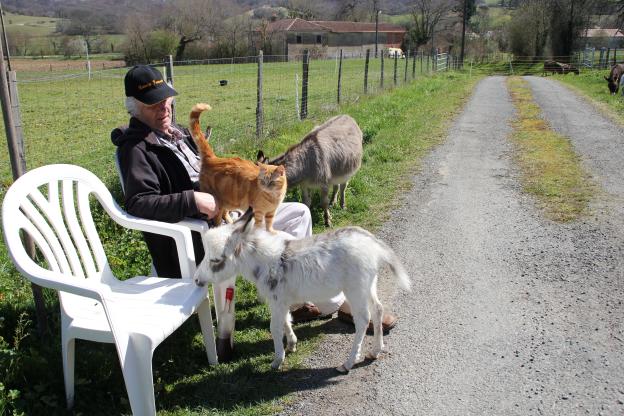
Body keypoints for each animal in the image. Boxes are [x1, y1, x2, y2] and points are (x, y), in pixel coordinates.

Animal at [190, 102, 288, 232]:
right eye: (262, 181)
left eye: (272, 182)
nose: (265, 187)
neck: (274, 196)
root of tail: (213, 158)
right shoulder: (257, 212)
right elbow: (258, 225)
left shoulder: (270, 212)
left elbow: (269, 224)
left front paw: (271, 231)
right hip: (217, 204)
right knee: (217, 220)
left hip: (230, 202)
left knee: (225, 213)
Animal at [195, 210, 410, 372]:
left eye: (215, 260)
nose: (197, 280)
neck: (263, 262)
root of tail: (372, 243)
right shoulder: (280, 301)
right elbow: (286, 320)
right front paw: (291, 345)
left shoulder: (277, 300)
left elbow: (274, 327)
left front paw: (277, 360)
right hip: (368, 285)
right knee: (378, 310)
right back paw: (375, 351)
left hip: (355, 289)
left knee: (363, 320)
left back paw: (348, 363)